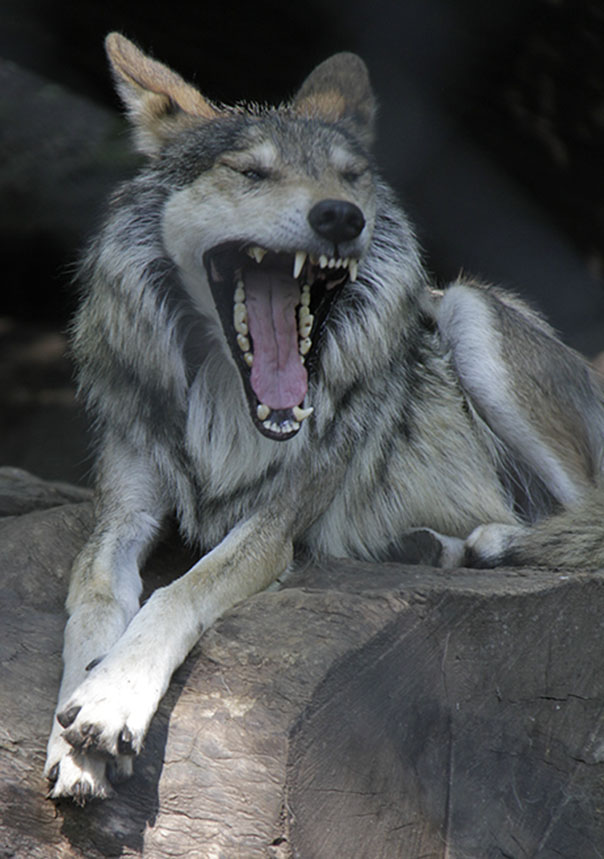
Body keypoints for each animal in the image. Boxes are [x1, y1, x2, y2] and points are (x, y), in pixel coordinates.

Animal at [45, 32, 604, 803]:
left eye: (351, 176)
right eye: (251, 171)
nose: (341, 215)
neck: (224, 402)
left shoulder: (274, 525)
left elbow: (179, 592)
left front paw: (109, 700)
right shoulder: (123, 513)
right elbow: (95, 598)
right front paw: (75, 735)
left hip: (470, 311)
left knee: (585, 525)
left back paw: (490, 543)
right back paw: (437, 546)